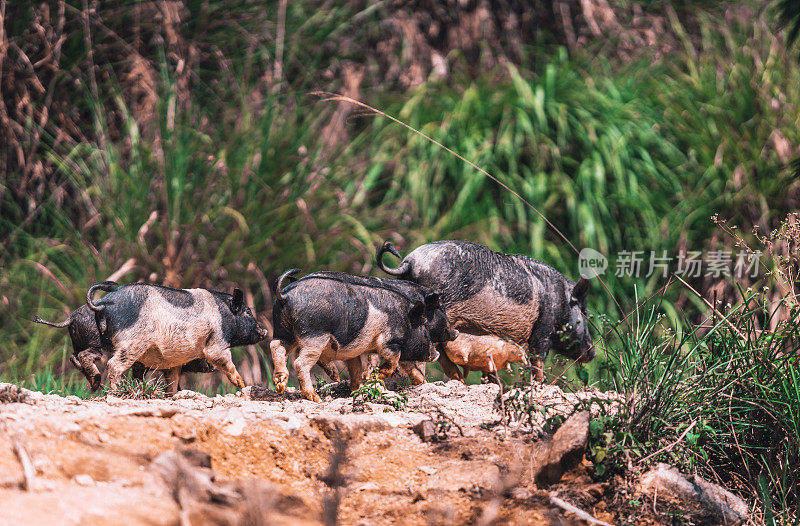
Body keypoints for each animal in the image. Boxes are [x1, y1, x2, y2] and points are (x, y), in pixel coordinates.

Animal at [86, 282, 268, 394]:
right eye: (248, 312)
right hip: (131, 342)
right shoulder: (217, 341)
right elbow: (220, 357)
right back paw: (114, 392)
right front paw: (242, 384)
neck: (226, 315)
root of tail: (104, 303)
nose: (265, 331)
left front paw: (172, 395)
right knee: (113, 364)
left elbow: (173, 379)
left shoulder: (173, 362)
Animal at [268, 270, 456, 402]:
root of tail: (285, 295)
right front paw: (374, 377)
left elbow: (357, 368)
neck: (406, 317)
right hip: (314, 335)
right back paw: (315, 398)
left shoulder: (354, 350)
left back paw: (281, 385)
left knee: (275, 345)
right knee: (300, 362)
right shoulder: (389, 342)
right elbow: (394, 361)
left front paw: (358, 388)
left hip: (284, 330)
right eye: (424, 325)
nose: (455, 333)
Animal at [376, 240, 592, 384]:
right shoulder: (544, 328)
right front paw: (540, 385)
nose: (593, 353)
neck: (561, 300)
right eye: (584, 311)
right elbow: (537, 360)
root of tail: (409, 262)